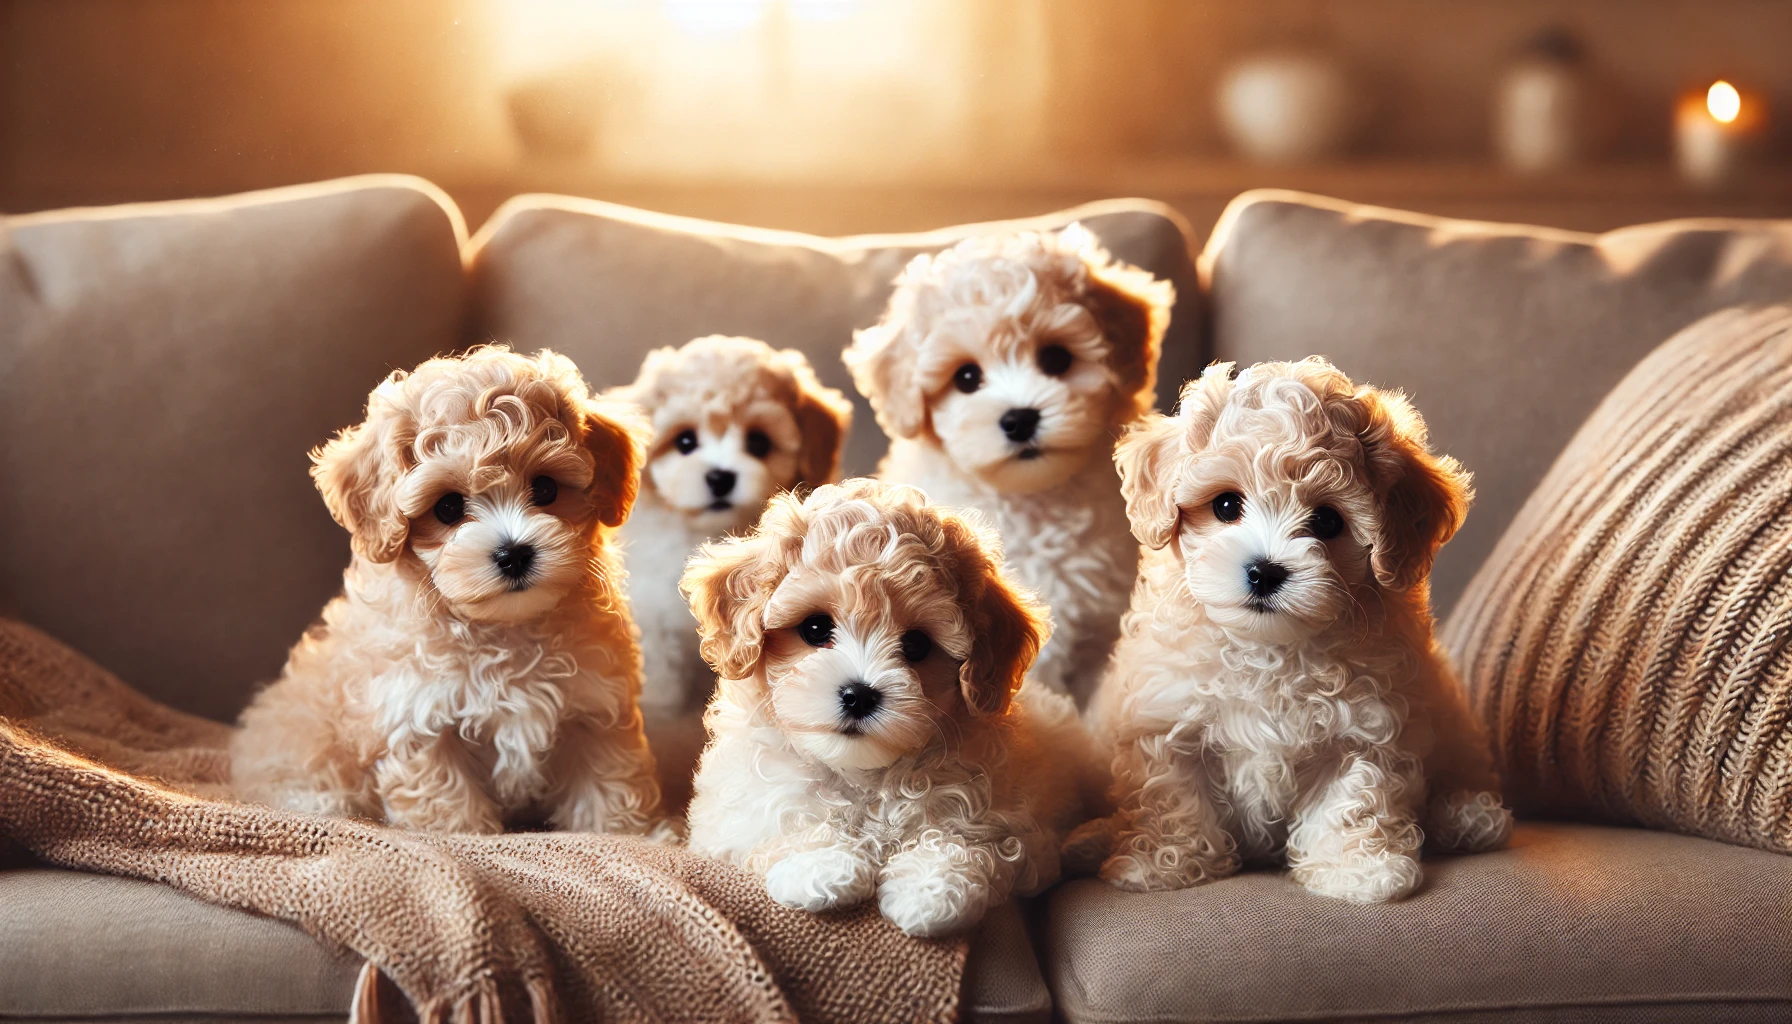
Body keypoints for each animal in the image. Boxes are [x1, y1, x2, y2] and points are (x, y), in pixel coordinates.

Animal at [231, 346, 666, 842]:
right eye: (448, 507)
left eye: (546, 488)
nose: (514, 553)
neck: (504, 630)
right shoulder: (415, 716)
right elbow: (445, 799)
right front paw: (464, 837)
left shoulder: (595, 709)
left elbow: (609, 783)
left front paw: (628, 835)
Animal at [684, 480, 1096, 939]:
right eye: (815, 628)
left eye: (916, 644)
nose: (859, 695)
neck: (865, 776)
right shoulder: (729, 817)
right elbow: (782, 821)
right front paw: (823, 865)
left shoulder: (1017, 830)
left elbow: (967, 842)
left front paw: (930, 891)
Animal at [1075, 360, 1512, 903]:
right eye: (1225, 506)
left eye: (1326, 520)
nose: (1264, 571)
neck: (1268, 648)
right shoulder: (1166, 716)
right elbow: (1171, 795)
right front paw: (1161, 863)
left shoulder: (1364, 727)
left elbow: (1351, 800)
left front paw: (1357, 871)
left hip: (1454, 727)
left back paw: (1469, 816)